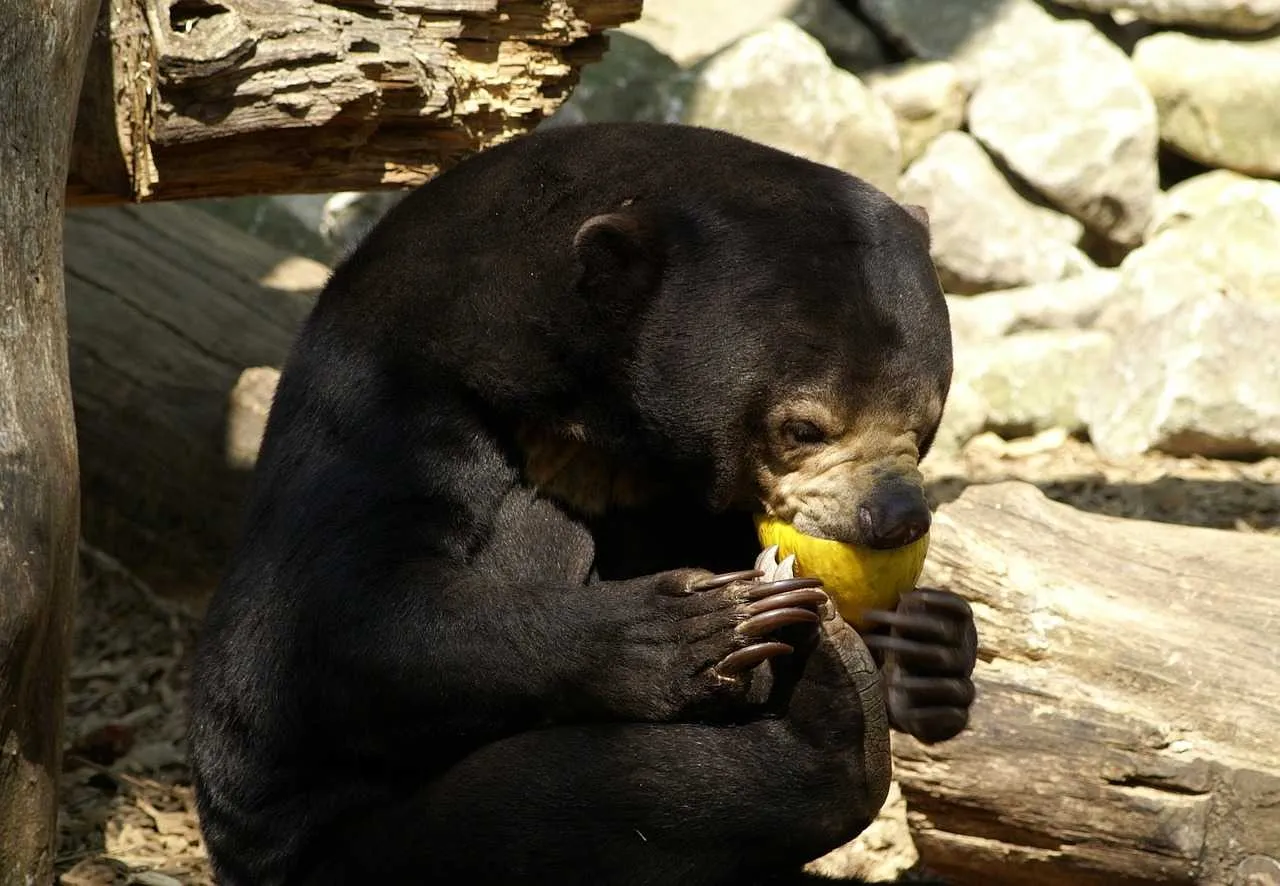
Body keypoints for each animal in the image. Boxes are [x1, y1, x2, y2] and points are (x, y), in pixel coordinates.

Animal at [185, 119, 972, 886]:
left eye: (927, 423)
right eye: (803, 427)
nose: (895, 520)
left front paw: (931, 645)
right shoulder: (394, 397)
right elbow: (332, 625)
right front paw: (700, 627)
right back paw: (830, 712)